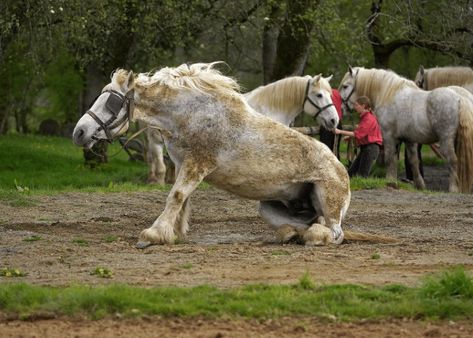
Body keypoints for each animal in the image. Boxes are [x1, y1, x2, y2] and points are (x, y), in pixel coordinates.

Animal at [73, 62, 354, 247]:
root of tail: (341, 170)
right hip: (268, 207)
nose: (79, 132)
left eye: (111, 102)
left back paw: (311, 237)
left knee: (333, 233)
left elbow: (176, 196)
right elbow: (182, 199)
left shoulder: (197, 164)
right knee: (310, 225)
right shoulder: (183, 164)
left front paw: (153, 234)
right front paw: (173, 233)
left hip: (328, 204)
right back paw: (289, 233)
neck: (191, 115)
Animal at [338, 66, 472, 193]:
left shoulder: (389, 137)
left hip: (446, 140)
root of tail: (460, 98)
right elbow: (414, 162)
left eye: (345, 86)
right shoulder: (409, 140)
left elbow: (390, 160)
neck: (389, 95)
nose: (341, 109)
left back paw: (453, 189)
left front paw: (390, 181)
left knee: (453, 160)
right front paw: (420, 185)